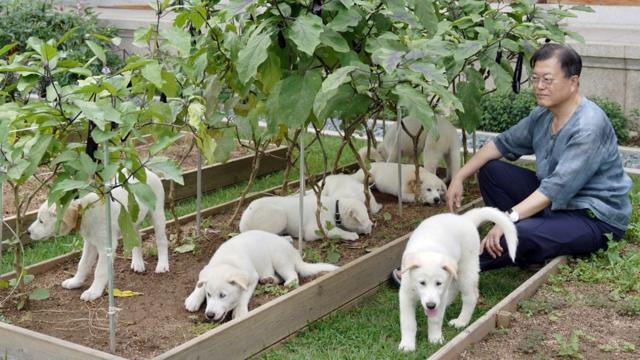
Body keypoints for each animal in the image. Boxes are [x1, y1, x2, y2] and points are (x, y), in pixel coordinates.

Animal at [27, 169, 170, 300]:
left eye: (41, 221)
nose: (27, 232)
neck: (84, 211)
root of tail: (147, 171)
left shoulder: (106, 246)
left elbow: (99, 271)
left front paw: (93, 292)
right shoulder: (90, 243)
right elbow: (82, 264)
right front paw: (75, 282)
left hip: (157, 214)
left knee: (161, 241)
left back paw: (162, 265)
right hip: (131, 222)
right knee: (136, 239)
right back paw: (138, 263)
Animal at [182, 229, 338, 320]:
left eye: (223, 296)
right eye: (209, 295)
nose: (209, 315)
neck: (228, 261)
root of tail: (294, 252)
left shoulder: (251, 277)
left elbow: (244, 295)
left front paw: (240, 311)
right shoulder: (208, 270)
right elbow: (201, 284)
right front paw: (193, 299)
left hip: (279, 258)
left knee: (292, 274)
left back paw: (288, 282)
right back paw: (269, 279)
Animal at [238, 194, 372, 242]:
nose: (372, 226)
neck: (335, 207)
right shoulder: (315, 230)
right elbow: (335, 230)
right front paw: (351, 235)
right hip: (279, 216)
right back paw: (286, 238)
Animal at [398, 207, 516, 350]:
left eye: (438, 283)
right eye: (422, 283)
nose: (431, 306)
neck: (428, 250)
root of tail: (465, 219)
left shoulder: (440, 294)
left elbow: (435, 320)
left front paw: (435, 339)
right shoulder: (405, 295)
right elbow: (408, 322)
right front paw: (407, 345)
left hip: (466, 269)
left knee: (470, 296)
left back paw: (461, 321)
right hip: (454, 271)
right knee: (454, 288)